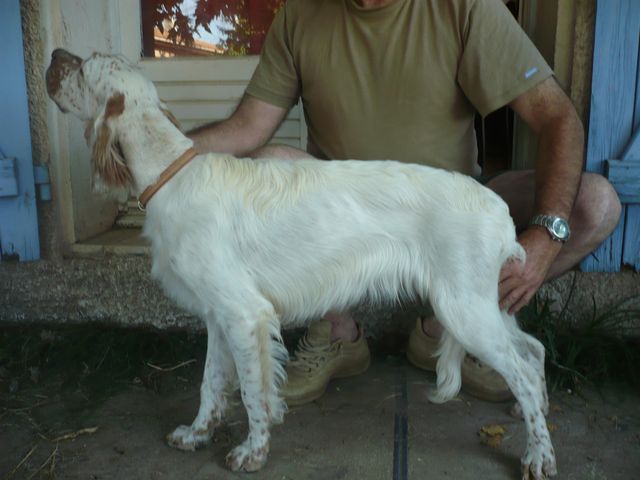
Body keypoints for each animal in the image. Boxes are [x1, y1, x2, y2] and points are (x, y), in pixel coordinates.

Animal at [46, 49, 556, 479]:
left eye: (83, 69)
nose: (53, 56)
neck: (172, 174)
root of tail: (499, 210)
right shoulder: (218, 315)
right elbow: (210, 384)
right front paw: (196, 434)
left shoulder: (245, 315)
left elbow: (251, 392)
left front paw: (252, 452)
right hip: (483, 304)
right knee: (534, 351)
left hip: (463, 309)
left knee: (524, 374)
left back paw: (539, 456)